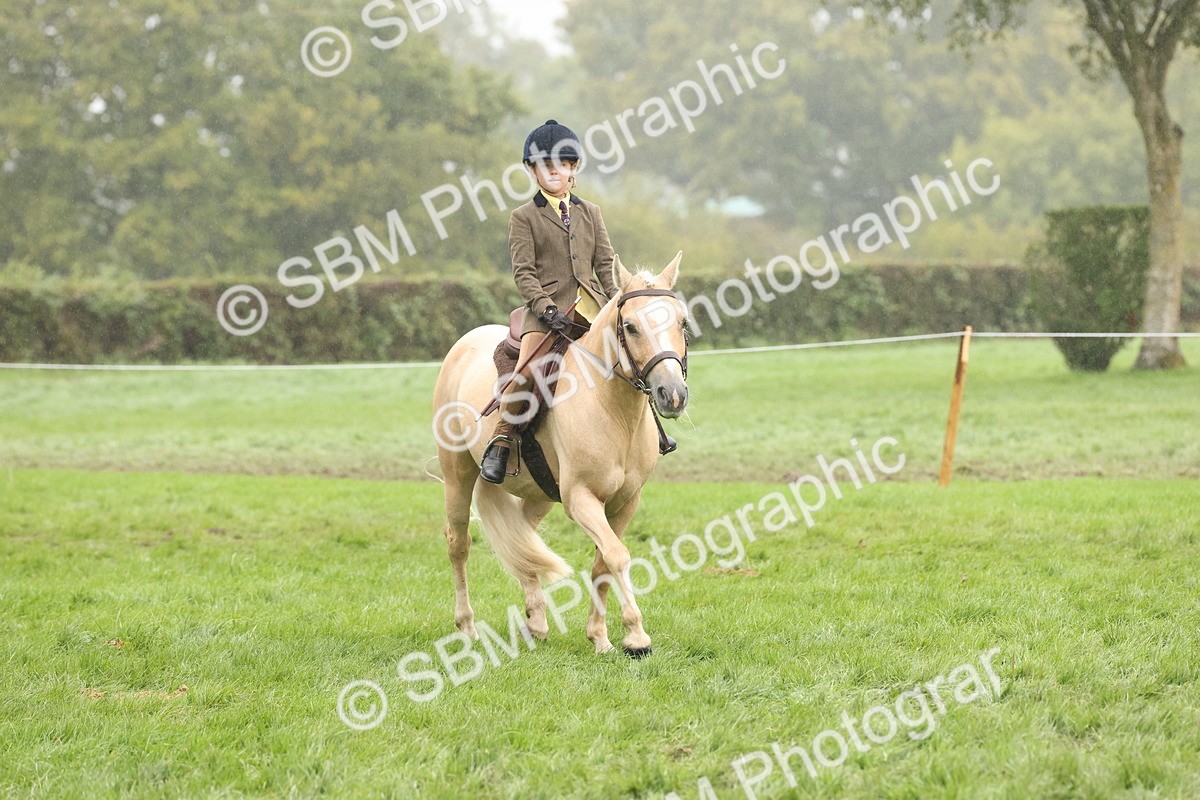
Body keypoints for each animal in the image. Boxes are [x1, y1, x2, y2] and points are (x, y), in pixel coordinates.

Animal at [432, 252, 690, 657]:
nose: (673, 394)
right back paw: (468, 628)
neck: (610, 408)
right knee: (459, 545)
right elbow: (618, 555)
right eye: (630, 326)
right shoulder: (581, 499)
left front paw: (600, 636)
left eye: (682, 322)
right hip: (457, 476)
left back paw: (536, 621)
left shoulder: (625, 502)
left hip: (538, 494)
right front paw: (636, 635)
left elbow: (603, 562)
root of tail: (465, 343)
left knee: (524, 539)